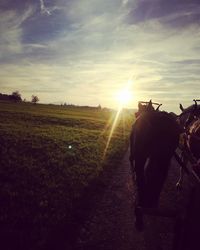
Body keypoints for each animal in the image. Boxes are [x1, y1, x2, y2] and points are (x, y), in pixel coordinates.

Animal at [130, 100, 180, 229]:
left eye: (136, 113)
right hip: (165, 158)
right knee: (160, 177)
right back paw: (152, 203)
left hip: (141, 155)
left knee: (141, 176)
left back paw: (140, 211)